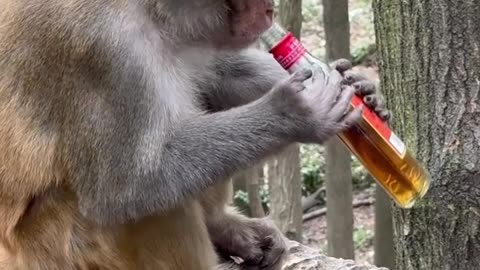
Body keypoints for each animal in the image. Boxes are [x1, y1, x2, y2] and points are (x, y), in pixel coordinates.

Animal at [0, 0, 390, 270]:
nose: (269, 10)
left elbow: (218, 72)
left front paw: (359, 86)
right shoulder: (103, 49)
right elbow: (121, 186)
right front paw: (294, 113)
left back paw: (224, 228)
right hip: (60, 251)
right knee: (152, 205)